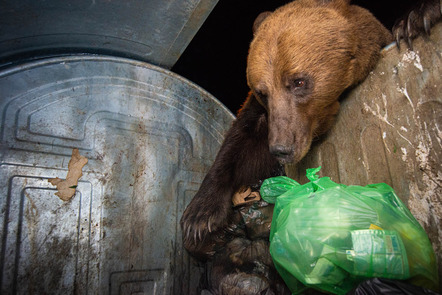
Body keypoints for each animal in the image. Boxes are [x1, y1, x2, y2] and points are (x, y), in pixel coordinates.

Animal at [180, 0, 442, 262]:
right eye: (262, 91)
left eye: (299, 81)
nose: (281, 148)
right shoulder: (262, 118)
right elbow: (240, 146)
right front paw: (200, 218)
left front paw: (415, 19)